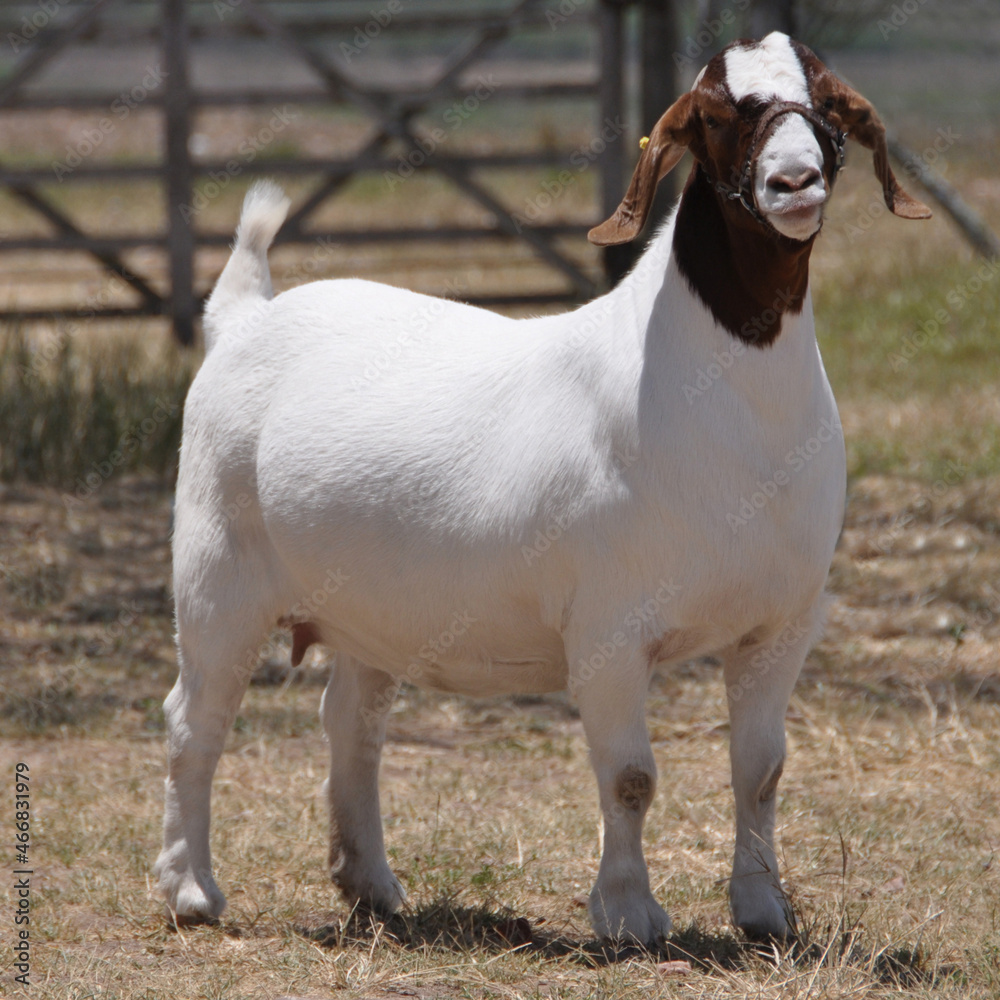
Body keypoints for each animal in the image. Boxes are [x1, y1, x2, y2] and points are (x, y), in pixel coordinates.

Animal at [156, 27, 928, 940]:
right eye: (712, 114)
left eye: (826, 103)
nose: (794, 182)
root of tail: (244, 318)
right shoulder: (608, 631)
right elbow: (631, 776)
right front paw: (630, 914)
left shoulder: (783, 623)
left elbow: (763, 769)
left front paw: (763, 908)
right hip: (217, 570)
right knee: (195, 720)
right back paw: (191, 889)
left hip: (373, 606)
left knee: (351, 720)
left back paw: (370, 881)